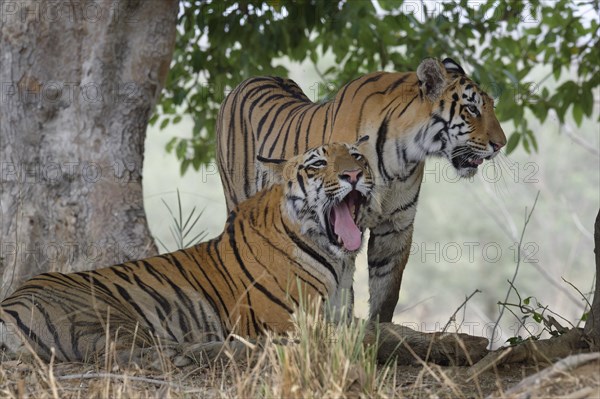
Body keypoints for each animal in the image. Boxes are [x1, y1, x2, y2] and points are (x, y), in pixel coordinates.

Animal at [0, 141, 372, 366]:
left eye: (357, 156)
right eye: (318, 163)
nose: (354, 174)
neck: (338, 260)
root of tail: (8, 304)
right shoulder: (290, 321)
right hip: (105, 314)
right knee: (138, 354)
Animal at [216, 57, 506, 324]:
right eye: (471, 109)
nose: (501, 144)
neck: (402, 156)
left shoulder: (396, 225)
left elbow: (387, 291)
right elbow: (343, 284)